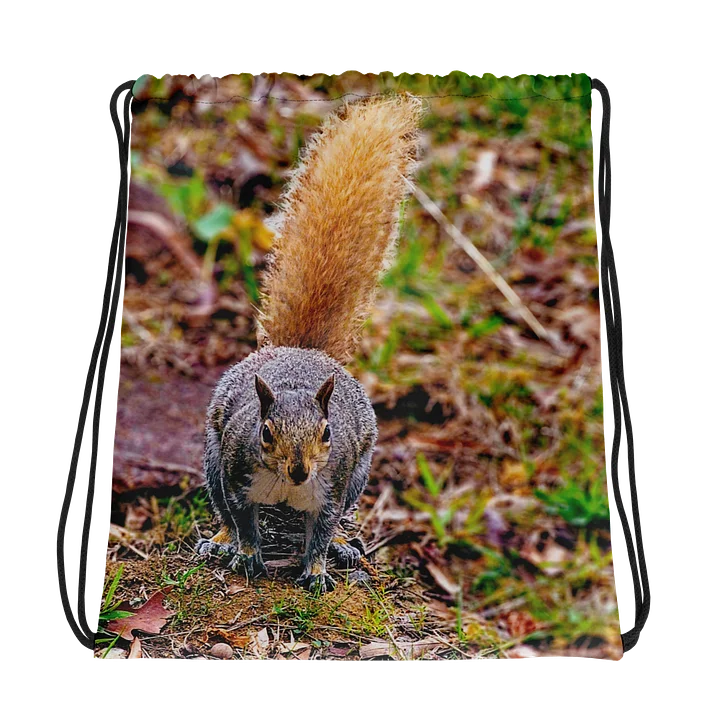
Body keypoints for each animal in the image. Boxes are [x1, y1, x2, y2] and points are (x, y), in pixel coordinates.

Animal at [195, 94, 422, 593]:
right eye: (265, 432)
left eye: (327, 433)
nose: (299, 470)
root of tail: (303, 352)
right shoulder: (235, 473)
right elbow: (242, 520)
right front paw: (247, 553)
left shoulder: (333, 487)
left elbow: (320, 530)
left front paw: (317, 568)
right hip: (212, 457)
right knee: (221, 510)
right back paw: (219, 541)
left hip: (358, 474)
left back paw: (341, 546)